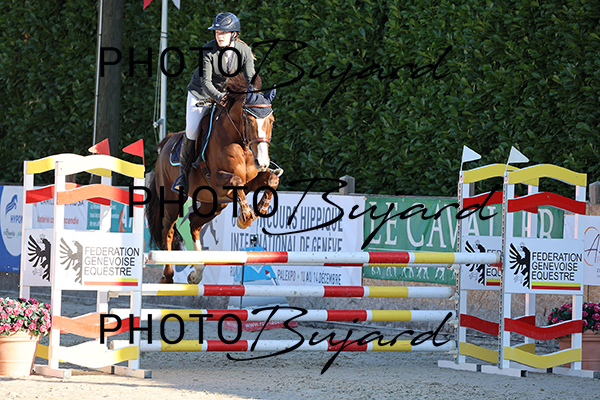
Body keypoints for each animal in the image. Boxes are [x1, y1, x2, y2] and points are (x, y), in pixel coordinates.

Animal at [146, 74, 279, 283]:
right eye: (249, 120)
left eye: (271, 121)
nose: (263, 162)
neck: (240, 142)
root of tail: (166, 142)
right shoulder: (219, 181)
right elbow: (236, 182)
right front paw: (245, 218)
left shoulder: (250, 182)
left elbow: (272, 180)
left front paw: (258, 210)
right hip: (172, 200)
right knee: (167, 231)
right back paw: (168, 276)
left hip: (215, 203)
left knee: (194, 222)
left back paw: (197, 272)